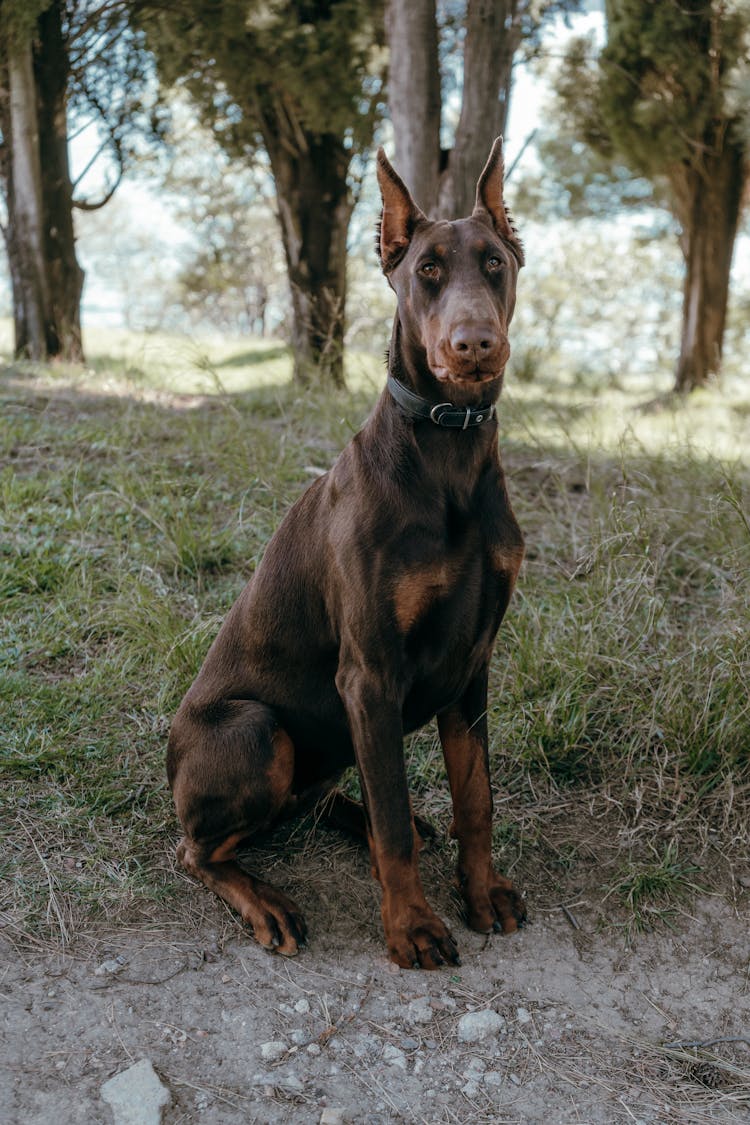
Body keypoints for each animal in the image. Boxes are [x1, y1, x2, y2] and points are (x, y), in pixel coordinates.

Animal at [167, 140, 526, 967]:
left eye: (494, 263)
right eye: (427, 270)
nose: (475, 345)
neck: (449, 455)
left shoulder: (474, 663)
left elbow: (476, 797)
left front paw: (481, 891)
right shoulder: (370, 672)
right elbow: (393, 822)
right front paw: (413, 926)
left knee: (325, 794)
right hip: (257, 730)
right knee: (196, 850)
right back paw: (265, 900)